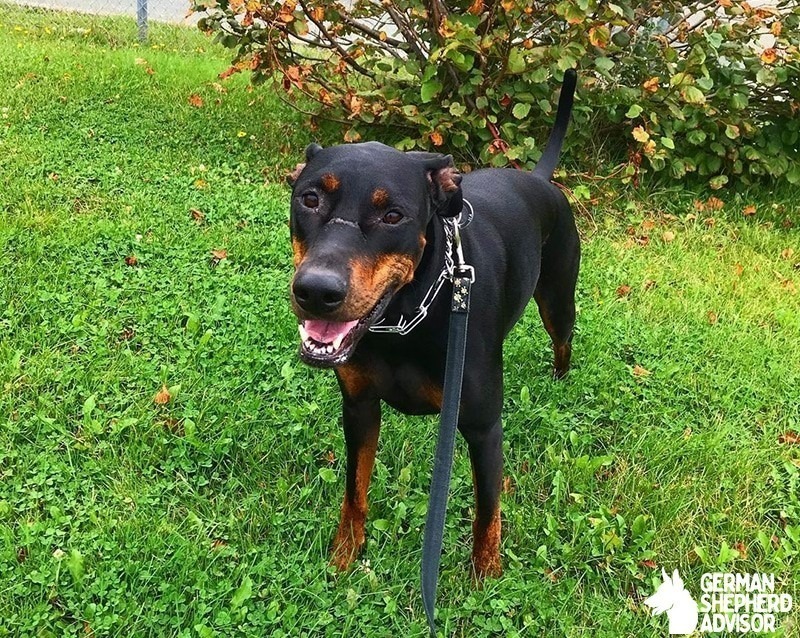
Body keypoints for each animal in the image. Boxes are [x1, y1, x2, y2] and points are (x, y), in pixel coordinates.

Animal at [284, 70, 580, 580]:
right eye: (310, 198)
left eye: (393, 214)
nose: (316, 292)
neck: (401, 322)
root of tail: (539, 179)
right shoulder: (359, 407)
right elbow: (354, 492)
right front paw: (344, 555)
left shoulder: (482, 426)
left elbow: (487, 510)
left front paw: (486, 576)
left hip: (558, 302)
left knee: (563, 342)